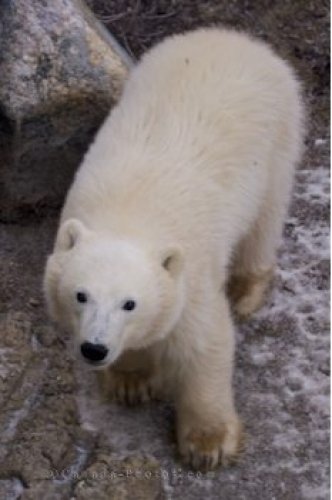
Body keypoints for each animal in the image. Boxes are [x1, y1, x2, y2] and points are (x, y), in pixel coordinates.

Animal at [43, 29, 304, 470]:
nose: (94, 349)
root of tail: (234, 37)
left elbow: (204, 344)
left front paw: (208, 444)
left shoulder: (192, 277)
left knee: (265, 220)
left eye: (129, 303)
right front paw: (130, 381)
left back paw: (246, 291)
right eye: (80, 295)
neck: (129, 216)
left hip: (277, 138)